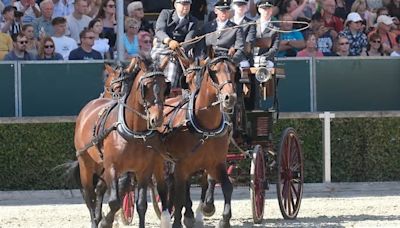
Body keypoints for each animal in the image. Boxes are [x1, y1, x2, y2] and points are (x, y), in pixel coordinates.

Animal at [65, 57, 171, 228]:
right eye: (146, 86)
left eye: (165, 86)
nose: (157, 119)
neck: (134, 131)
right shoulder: (112, 167)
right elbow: (115, 201)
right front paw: (106, 221)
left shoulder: (143, 170)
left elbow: (141, 204)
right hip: (86, 163)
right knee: (90, 196)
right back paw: (96, 220)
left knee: (99, 190)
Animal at [157, 55, 236, 228]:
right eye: (214, 72)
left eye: (235, 71)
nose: (230, 98)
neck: (206, 128)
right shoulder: (182, 166)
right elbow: (180, 195)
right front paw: (179, 221)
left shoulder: (217, 163)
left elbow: (226, 186)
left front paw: (223, 218)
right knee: (168, 184)